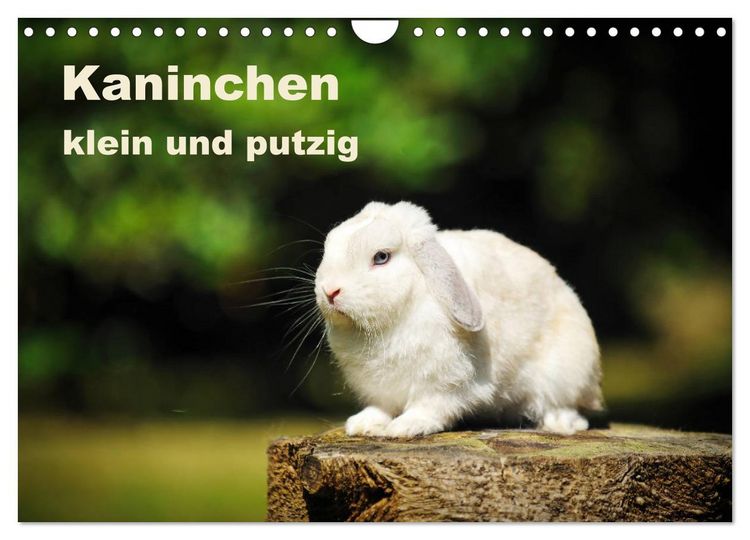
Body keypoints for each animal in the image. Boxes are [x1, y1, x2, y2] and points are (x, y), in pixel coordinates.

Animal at [314, 201, 603, 437]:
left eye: (381, 257)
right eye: (328, 248)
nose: (330, 291)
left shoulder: (444, 383)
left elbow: (430, 407)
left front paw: (405, 427)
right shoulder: (381, 388)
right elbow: (381, 407)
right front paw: (363, 425)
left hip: (564, 371)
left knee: (565, 406)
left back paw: (558, 424)